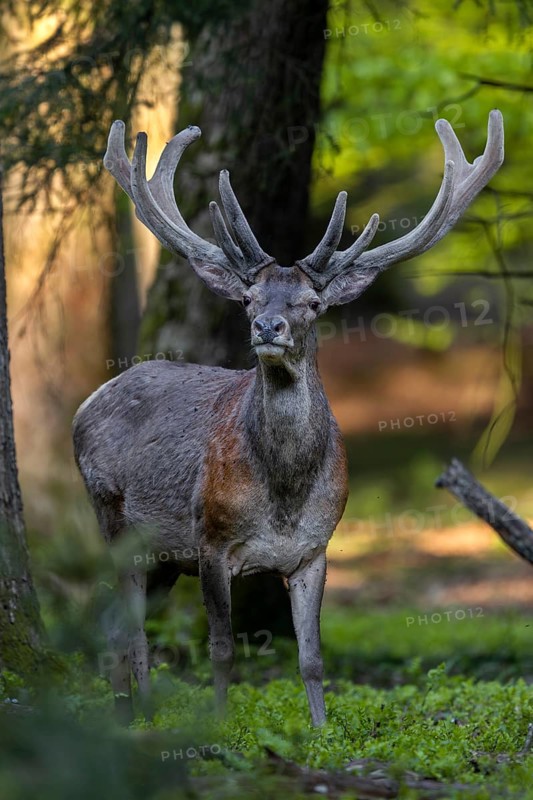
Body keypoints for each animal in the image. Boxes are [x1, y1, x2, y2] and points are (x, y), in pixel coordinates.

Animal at [73, 110, 504, 726]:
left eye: (313, 304)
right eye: (248, 299)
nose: (267, 327)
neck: (283, 495)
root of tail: (86, 404)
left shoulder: (314, 550)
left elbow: (312, 657)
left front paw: (321, 730)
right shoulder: (210, 541)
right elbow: (222, 649)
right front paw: (221, 725)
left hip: (161, 556)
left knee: (116, 623)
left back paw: (134, 713)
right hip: (113, 517)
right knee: (123, 626)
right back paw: (134, 717)